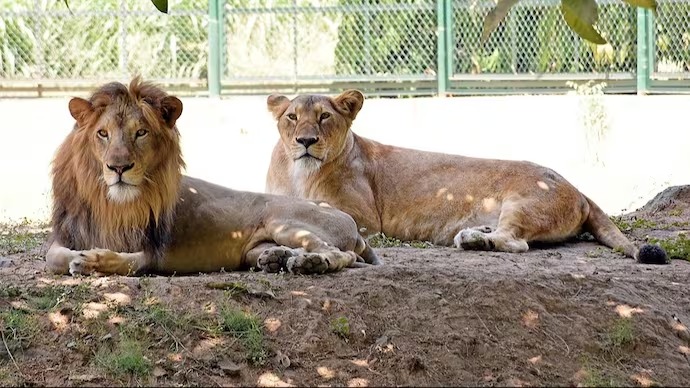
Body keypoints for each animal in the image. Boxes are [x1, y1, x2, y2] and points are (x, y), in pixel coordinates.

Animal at [47, 78, 382, 276]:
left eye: (140, 133)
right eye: (102, 133)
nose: (118, 167)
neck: (110, 203)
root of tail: (350, 223)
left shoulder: (155, 252)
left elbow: (129, 262)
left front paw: (93, 261)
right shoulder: (64, 237)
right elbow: (54, 257)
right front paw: (80, 257)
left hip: (282, 219)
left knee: (338, 253)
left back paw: (309, 263)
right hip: (258, 244)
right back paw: (276, 257)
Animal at [264, 90, 668, 266]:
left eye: (324, 117)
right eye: (291, 117)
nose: (305, 141)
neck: (300, 174)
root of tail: (579, 188)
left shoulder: (366, 220)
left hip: (525, 201)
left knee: (516, 242)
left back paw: (473, 239)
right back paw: (477, 233)